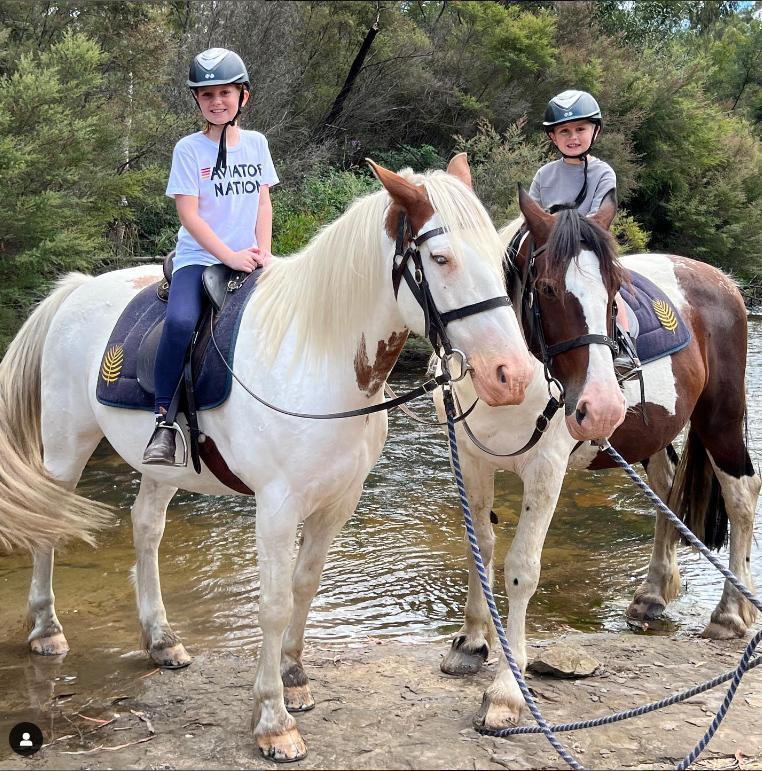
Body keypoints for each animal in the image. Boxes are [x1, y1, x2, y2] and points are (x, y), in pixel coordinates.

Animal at [0, 157, 532, 760]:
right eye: (440, 259)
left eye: (496, 257)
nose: (512, 377)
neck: (317, 356)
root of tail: (77, 290)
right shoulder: (277, 506)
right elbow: (274, 602)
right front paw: (274, 720)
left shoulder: (337, 502)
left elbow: (305, 585)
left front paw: (294, 678)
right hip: (67, 446)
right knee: (48, 526)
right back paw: (46, 631)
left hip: (161, 466)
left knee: (146, 528)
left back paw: (161, 639)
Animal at [430, 184, 756, 732]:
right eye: (545, 288)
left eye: (614, 291)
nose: (601, 408)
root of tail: (721, 281)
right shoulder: (472, 459)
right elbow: (481, 547)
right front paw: (472, 644)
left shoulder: (545, 468)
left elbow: (521, 567)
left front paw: (506, 691)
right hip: (652, 438)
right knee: (667, 493)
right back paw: (652, 594)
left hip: (721, 421)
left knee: (742, 500)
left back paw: (730, 613)